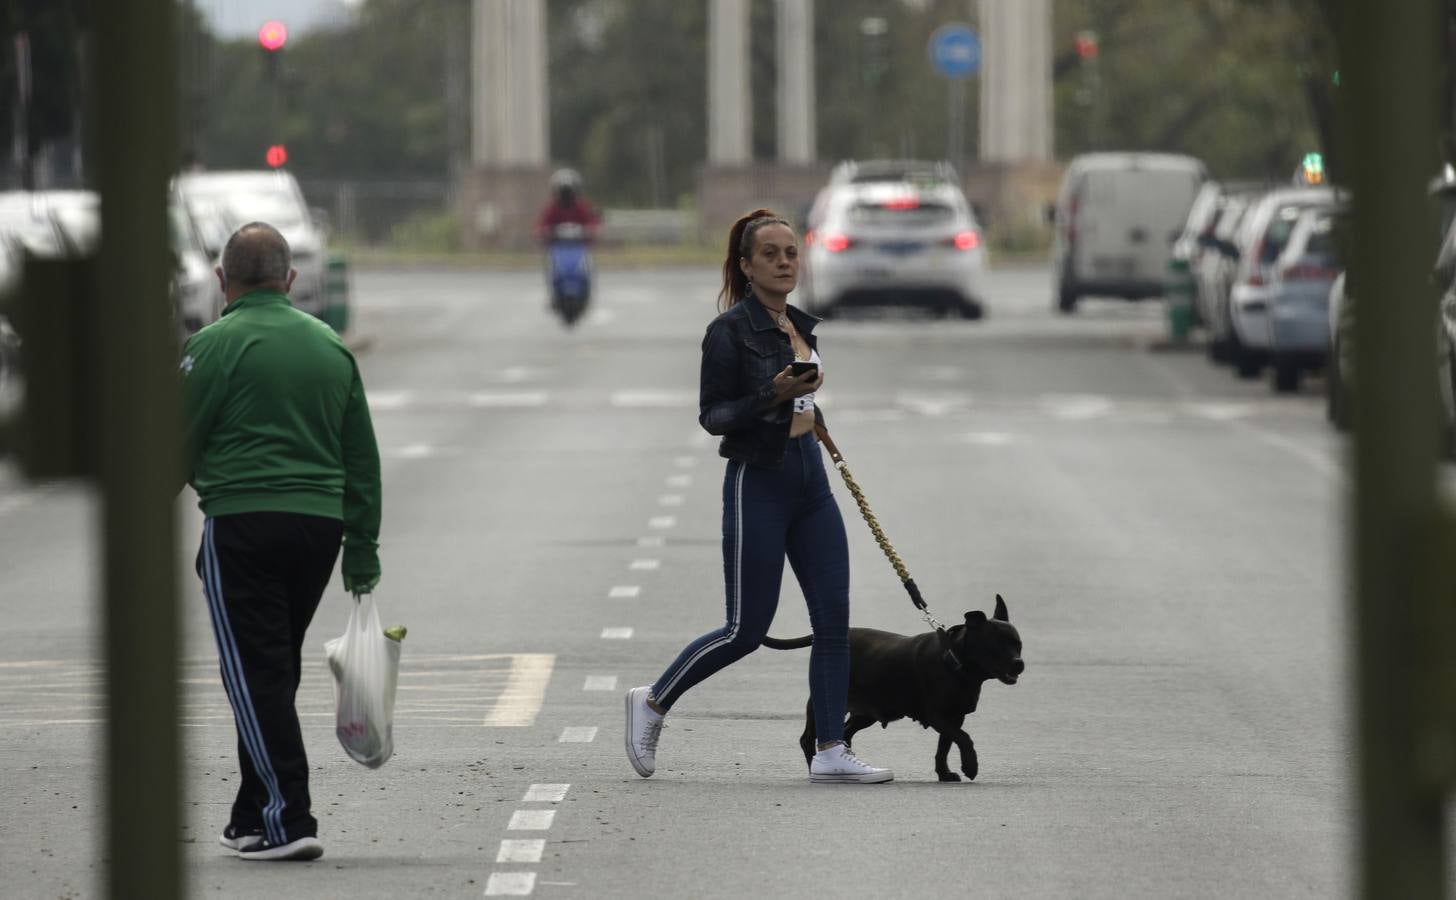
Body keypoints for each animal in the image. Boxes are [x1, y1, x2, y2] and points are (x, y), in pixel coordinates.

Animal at [762, 588, 1025, 780]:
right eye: (996, 646)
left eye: (1018, 645)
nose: (1019, 664)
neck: (954, 660)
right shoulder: (938, 716)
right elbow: (964, 738)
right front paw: (970, 766)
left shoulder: (954, 717)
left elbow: (945, 745)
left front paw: (944, 773)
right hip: (822, 703)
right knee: (808, 738)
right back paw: (813, 768)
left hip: (865, 712)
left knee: (845, 732)